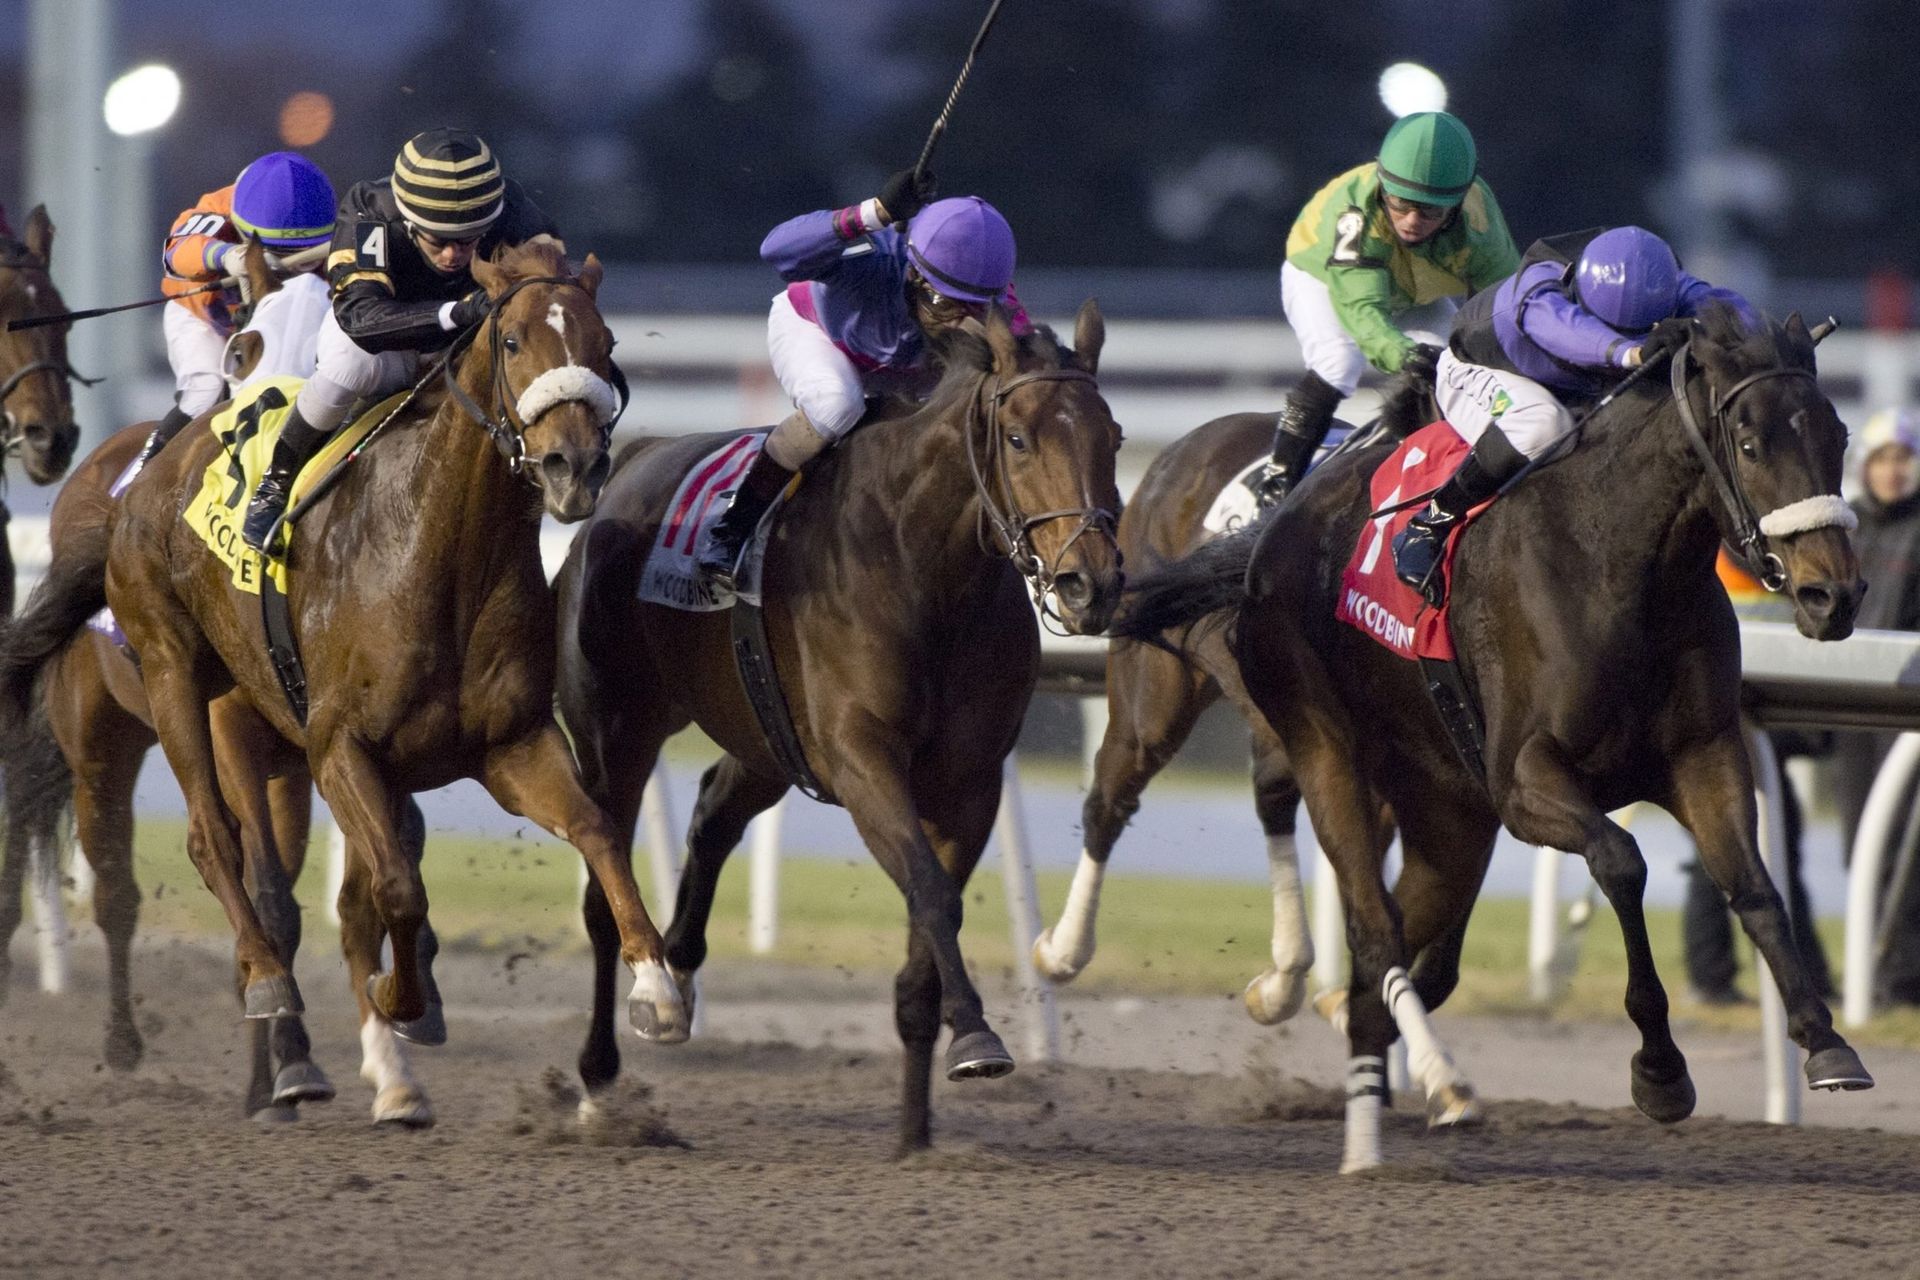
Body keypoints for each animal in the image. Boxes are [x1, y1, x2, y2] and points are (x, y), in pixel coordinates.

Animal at [0, 237, 687, 1120]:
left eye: (606, 346)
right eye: (511, 341)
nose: (575, 465)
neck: (437, 555)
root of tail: (137, 484)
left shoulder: (509, 746)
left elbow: (595, 832)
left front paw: (657, 989)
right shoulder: (335, 748)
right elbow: (390, 889)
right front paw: (391, 1008)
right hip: (155, 686)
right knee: (198, 845)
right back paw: (245, 993)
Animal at [552, 307, 1121, 1151]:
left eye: (1113, 436)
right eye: (1019, 439)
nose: (1093, 583)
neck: (923, 567)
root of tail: (636, 457)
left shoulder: (970, 779)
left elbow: (929, 914)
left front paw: (917, 1125)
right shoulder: (862, 761)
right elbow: (930, 891)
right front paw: (977, 1037)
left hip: (765, 734)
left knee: (714, 811)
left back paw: (679, 974)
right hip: (614, 731)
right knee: (601, 889)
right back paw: (602, 1073)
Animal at [1121, 310, 1866, 1174]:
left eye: (1838, 434)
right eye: (1748, 443)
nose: (1833, 594)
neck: (1620, 564)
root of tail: (1276, 525)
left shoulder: (1704, 753)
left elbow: (1754, 886)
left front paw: (1827, 1043)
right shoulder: (1524, 779)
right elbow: (1621, 861)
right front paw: (1659, 1071)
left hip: (1448, 815)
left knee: (1397, 957)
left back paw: (1374, 1094)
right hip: (1325, 746)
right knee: (1374, 931)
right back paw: (1404, 1095)